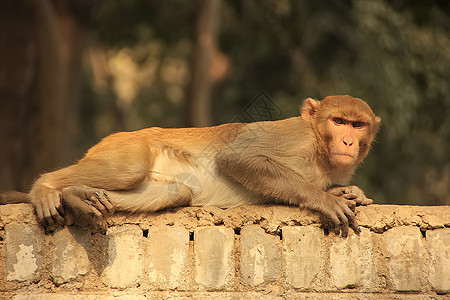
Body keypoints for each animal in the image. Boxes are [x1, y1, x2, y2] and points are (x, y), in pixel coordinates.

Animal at [0, 95, 380, 237]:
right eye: (338, 121)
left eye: (357, 125)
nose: (348, 142)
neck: (318, 147)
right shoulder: (292, 135)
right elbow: (236, 157)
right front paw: (327, 199)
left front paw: (350, 191)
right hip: (124, 147)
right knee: (129, 170)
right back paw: (47, 188)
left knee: (176, 192)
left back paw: (77, 197)